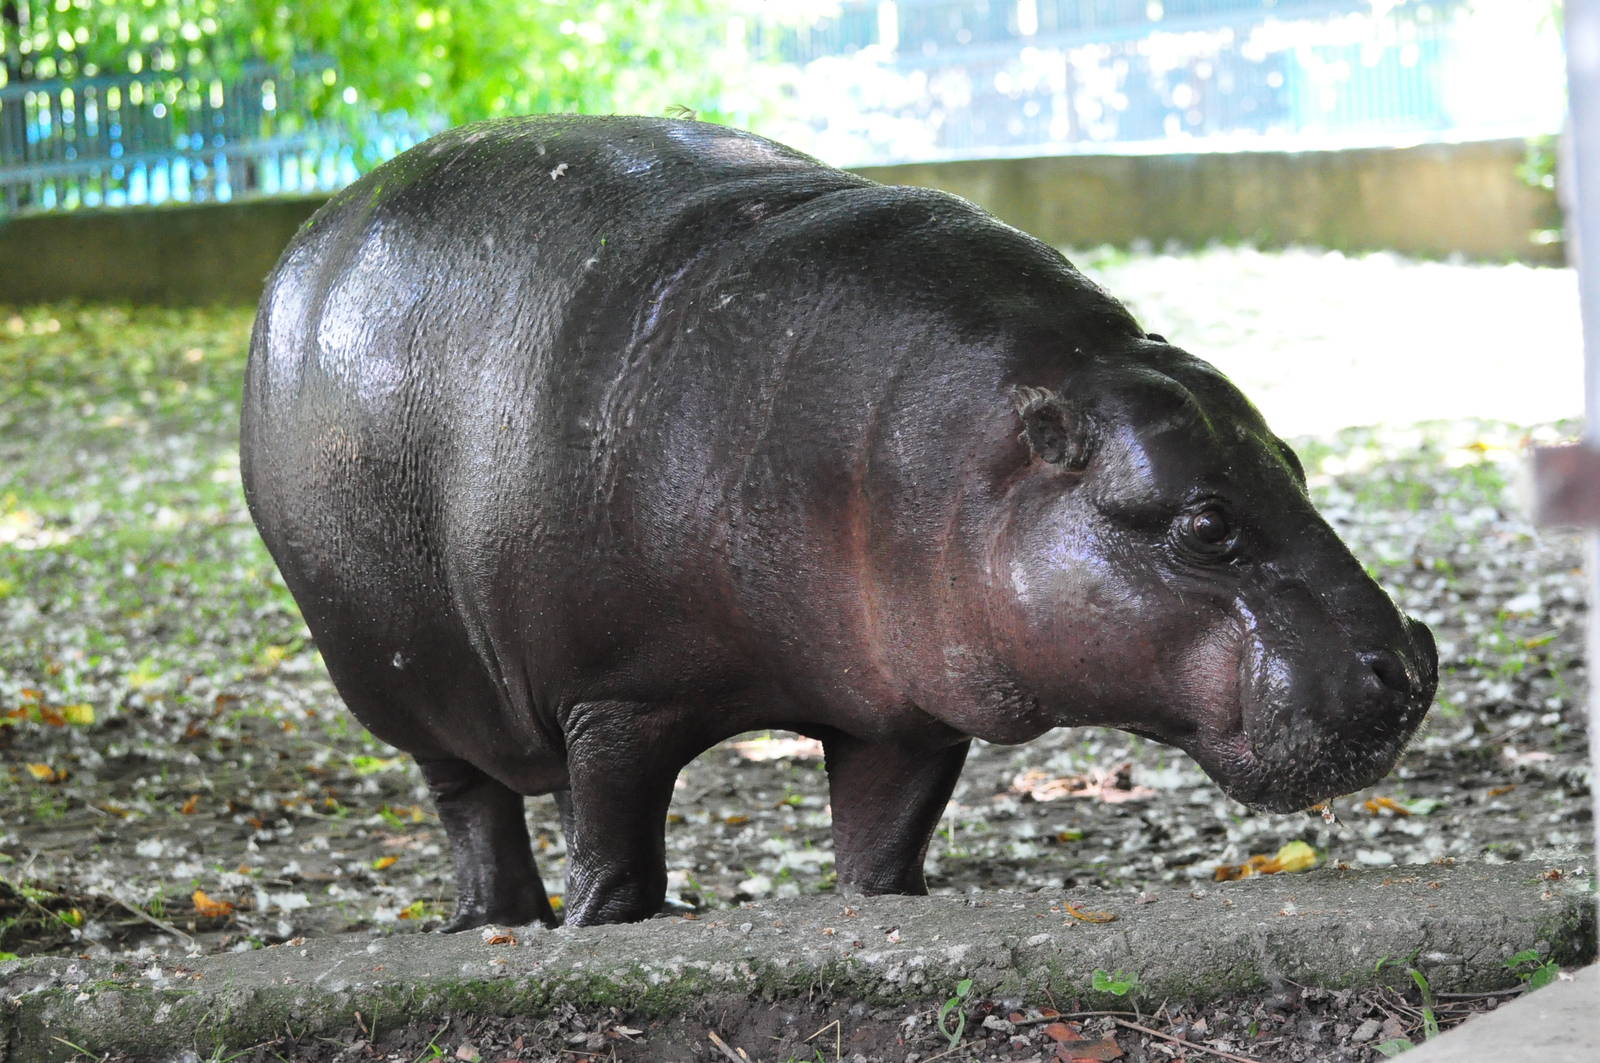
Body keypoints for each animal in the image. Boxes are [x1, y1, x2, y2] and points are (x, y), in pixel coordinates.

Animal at [241, 115, 1437, 931]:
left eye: (1291, 463)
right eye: (1204, 523)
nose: (1408, 664)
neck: (965, 450)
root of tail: (312, 233)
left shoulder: (905, 710)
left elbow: (881, 847)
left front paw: (882, 900)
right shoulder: (619, 694)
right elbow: (617, 840)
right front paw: (604, 923)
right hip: (400, 683)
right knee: (471, 801)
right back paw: (503, 921)